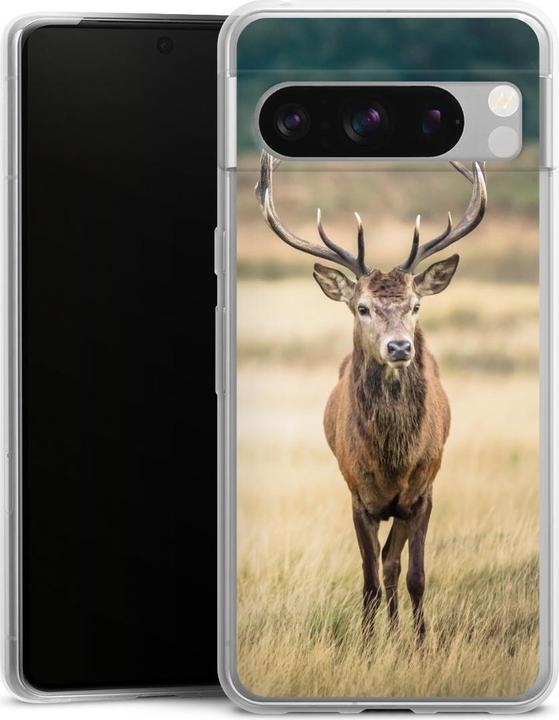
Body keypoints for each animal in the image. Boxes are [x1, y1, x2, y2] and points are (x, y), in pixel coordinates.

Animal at [255, 151, 487, 642]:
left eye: (416, 305)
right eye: (362, 307)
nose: (399, 347)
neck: (392, 462)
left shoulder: (423, 492)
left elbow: (413, 574)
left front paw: (420, 643)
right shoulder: (357, 496)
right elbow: (368, 581)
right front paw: (365, 644)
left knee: (394, 564)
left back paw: (398, 633)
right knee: (382, 567)